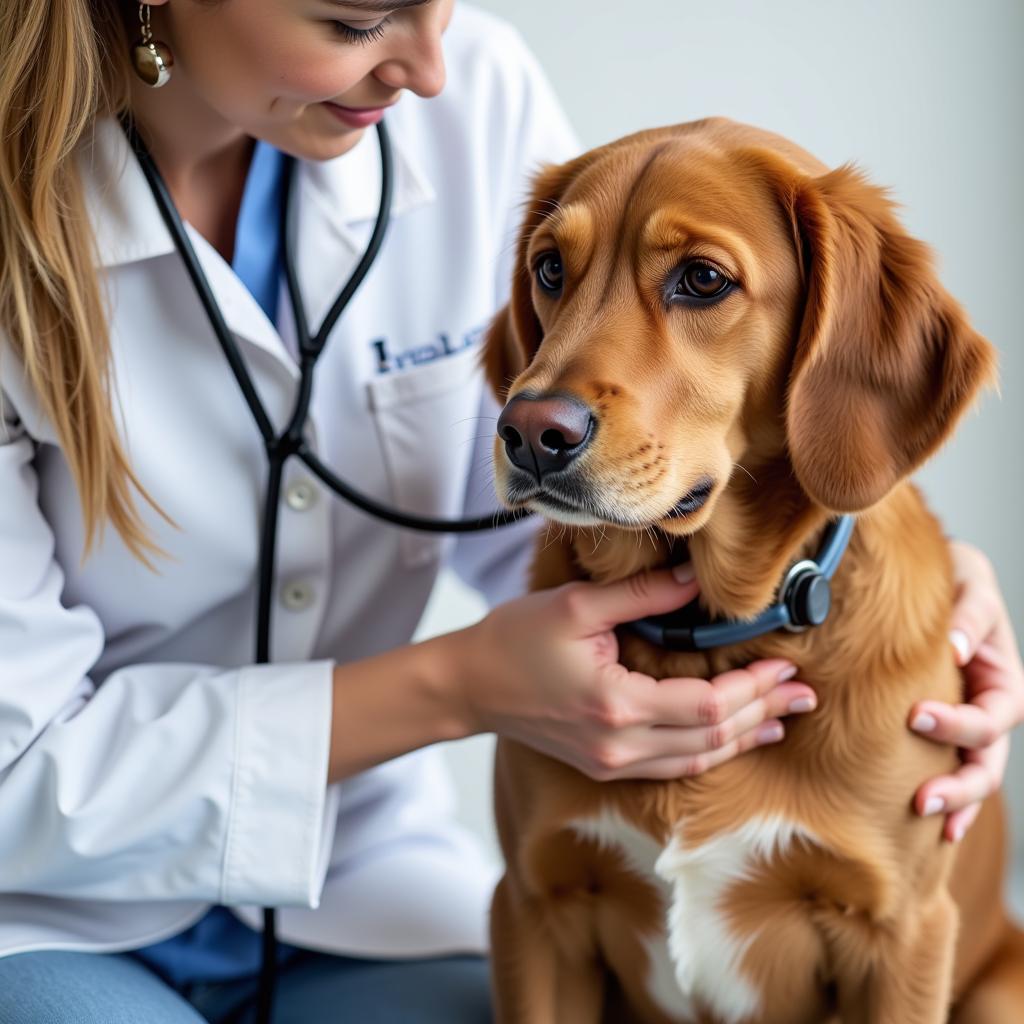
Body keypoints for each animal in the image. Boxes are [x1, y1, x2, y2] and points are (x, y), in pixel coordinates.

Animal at [483, 119, 1024, 1024]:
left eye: (703, 280)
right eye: (550, 269)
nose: (529, 432)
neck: (709, 628)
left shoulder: (903, 936)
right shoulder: (534, 907)